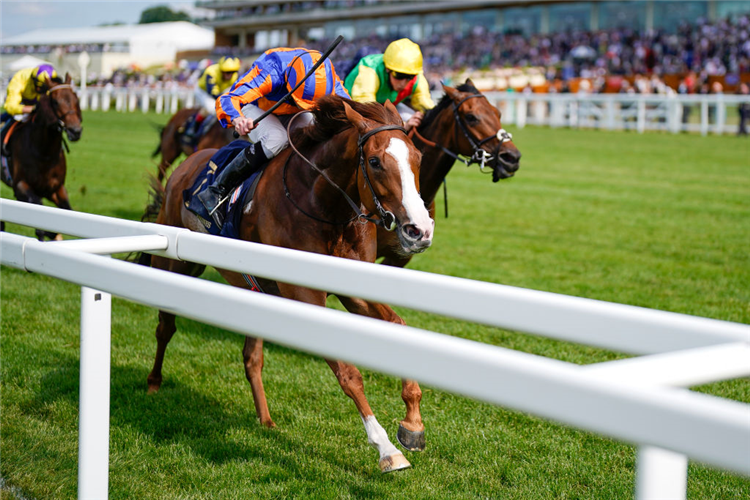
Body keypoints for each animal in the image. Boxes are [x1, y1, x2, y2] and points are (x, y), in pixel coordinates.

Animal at [0, 72, 82, 240]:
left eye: (76, 98)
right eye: (55, 102)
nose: (75, 131)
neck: (44, 153)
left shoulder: (56, 189)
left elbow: (67, 211)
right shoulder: (21, 187)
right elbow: (39, 221)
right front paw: (50, 233)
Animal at [142, 96, 434, 472]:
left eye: (418, 158)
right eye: (374, 161)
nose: (419, 230)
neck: (324, 206)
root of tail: (185, 166)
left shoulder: (352, 287)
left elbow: (399, 326)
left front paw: (412, 425)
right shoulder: (304, 295)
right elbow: (349, 373)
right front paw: (386, 449)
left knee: (252, 356)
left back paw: (265, 419)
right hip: (176, 262)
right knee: (165, 326)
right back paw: (153, 383)